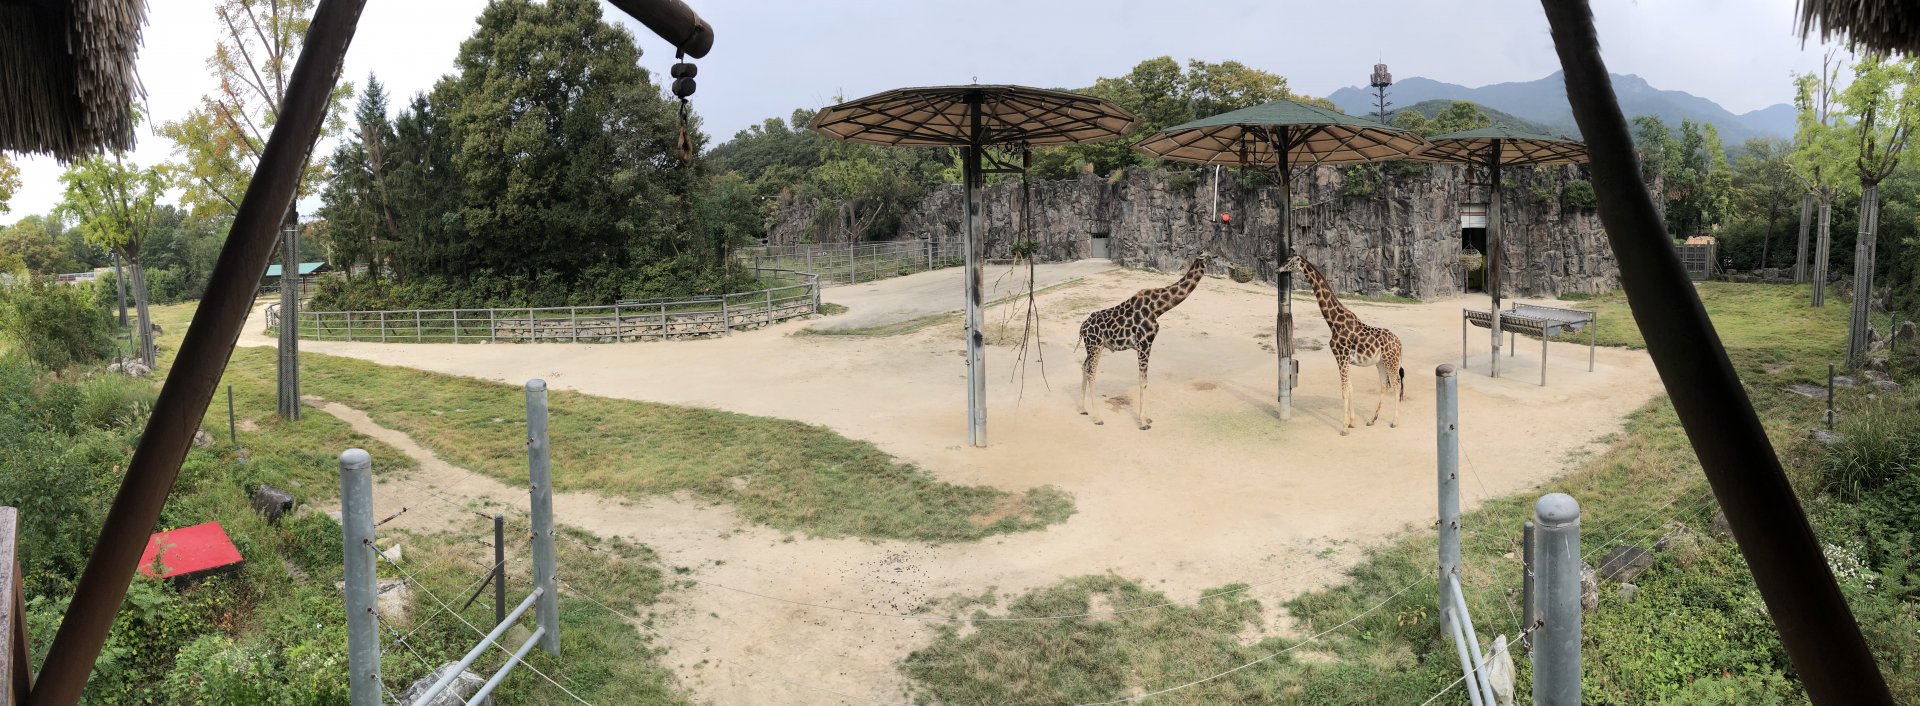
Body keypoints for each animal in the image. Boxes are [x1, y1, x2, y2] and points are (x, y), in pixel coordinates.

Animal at [1078, 254, 1217, 430]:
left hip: (1093, 347)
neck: (1158, 308)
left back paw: (1083, 409)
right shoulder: (1144, 344)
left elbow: (1144, 380)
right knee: (1091, 372)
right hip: (1095, 345)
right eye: (1212, 258)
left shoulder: (1144, 345)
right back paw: (1097, 417)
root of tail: (1082, 328)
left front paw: (1146, 418)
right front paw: (1143, 422)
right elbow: (1143, 381)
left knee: (1084, 367)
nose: (1217, 268)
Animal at [1279, 254, 1406, 435]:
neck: (1333, 322)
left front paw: (1344, 427)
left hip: (1391, 361)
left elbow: (1344, 390)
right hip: (1381, 362)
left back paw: (1394, 422)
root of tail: (1400, 343)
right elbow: (1350, 388)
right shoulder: (1345, 359)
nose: (1277, 269)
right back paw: (1372, 420)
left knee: (1396, 385)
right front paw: (1352, 422)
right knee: (1384, 385)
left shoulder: (1341, 356)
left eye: (1289, 261)